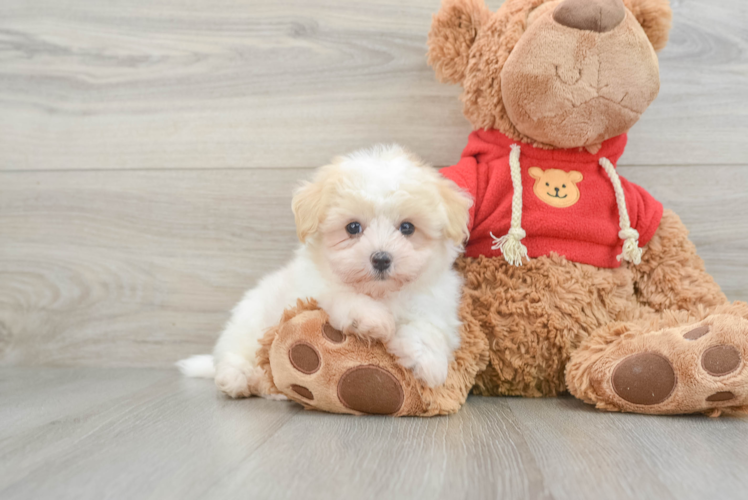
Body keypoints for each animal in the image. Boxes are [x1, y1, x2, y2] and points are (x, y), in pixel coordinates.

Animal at [178, 145, 470, 398]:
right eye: (353, 227)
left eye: (407, 228)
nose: (381, 259)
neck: (380, 293)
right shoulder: (310, 289)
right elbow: (339, 294)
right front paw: (372, 319)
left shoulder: (436, 304)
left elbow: (429, 328)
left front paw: (427, 362)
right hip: (249, 323)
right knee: (235, 353)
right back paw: (238, 378)